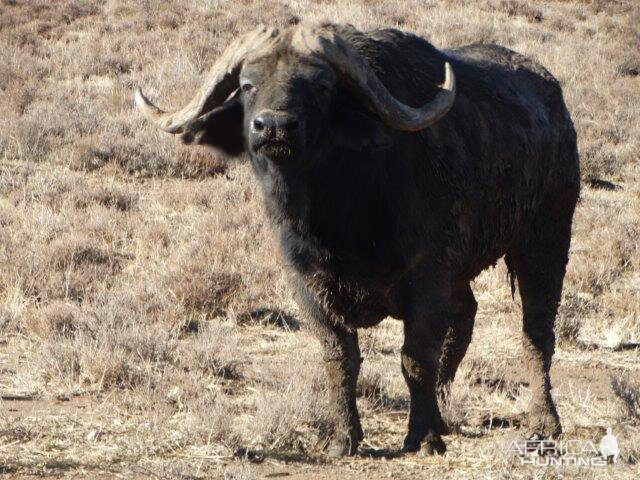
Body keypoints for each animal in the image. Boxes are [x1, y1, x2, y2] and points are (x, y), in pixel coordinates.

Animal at [135, 22, 580, 458]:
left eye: (321, 86)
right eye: (247, 84)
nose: (273, 126)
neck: (341, 209)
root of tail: (555, 104)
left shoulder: (429, 276)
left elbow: (415, 357)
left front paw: (422, 437)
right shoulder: (307, 283)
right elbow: (340, 357)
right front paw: (343, 437)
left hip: (546, 239)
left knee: (536, 334)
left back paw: (544, 423)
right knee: (467, 316)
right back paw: (443, 412)